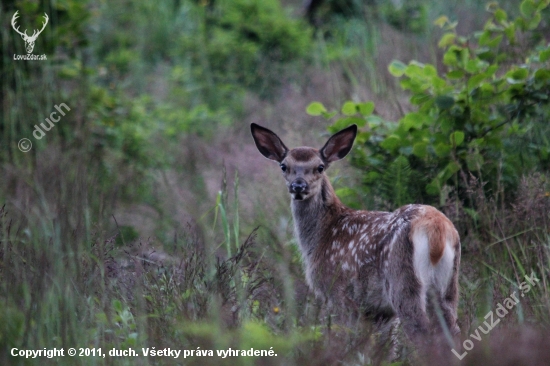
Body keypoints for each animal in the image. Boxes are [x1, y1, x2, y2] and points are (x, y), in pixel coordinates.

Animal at [250, 123, 462, 348]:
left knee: (421, 331)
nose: (298, 186)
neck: (321, 236)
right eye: (284, 166)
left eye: (320, 167)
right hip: (448, 285)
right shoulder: (380, 311)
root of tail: (437, 229)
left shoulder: (338, 292)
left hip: (402, 280)